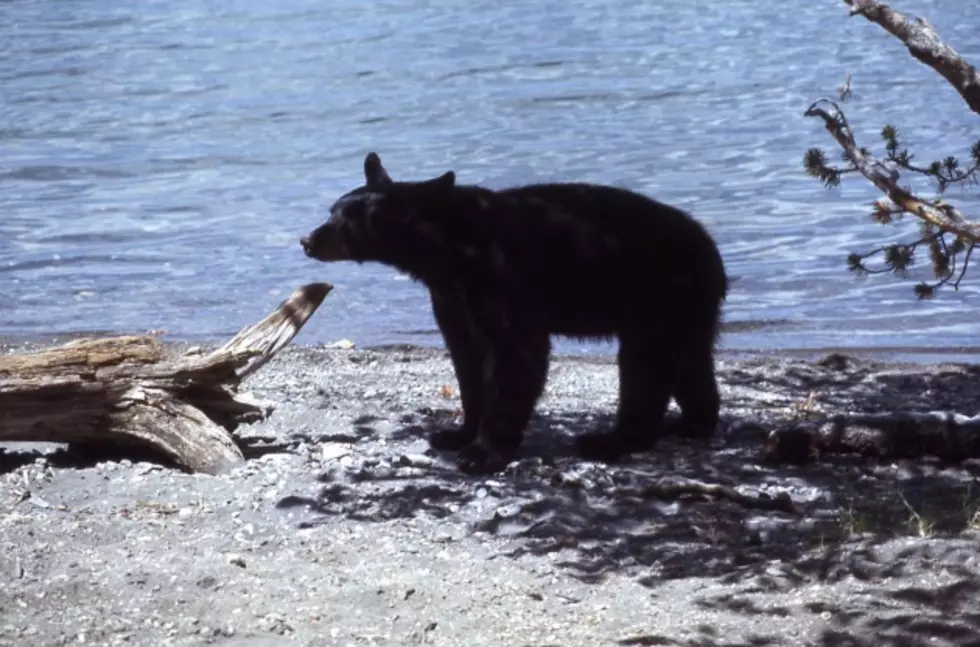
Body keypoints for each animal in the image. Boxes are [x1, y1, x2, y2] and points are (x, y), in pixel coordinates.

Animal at [300, 154, 728, 474]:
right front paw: (458, 433)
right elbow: (467, 361)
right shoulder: (452, 299)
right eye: (331, 211)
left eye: (345, 220)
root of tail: (712, 250)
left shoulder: (503, 280)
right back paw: (692, 423)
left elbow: (515, 360)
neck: (448, 250)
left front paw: (483, 453)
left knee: (645, 367)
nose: (307, 239)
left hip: (657, 294)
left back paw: (611, 440)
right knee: (689, 361)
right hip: (683, 308)